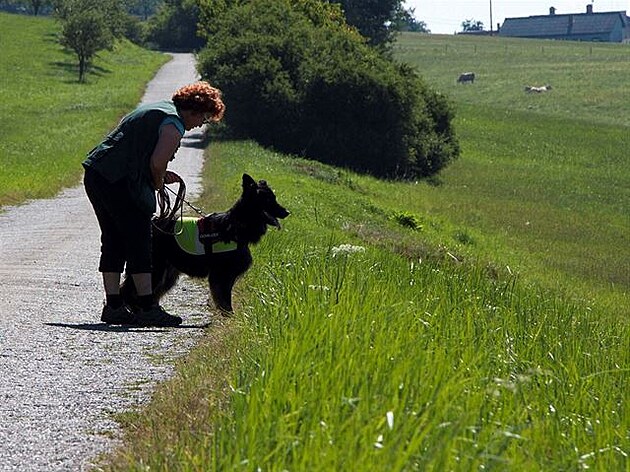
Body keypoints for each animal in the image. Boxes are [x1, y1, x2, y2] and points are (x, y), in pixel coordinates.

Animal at [121, 173, 292, 314]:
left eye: (274, 198)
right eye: (268, 200)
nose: (287, 212)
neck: (235, 225)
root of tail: (153, 224)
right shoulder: (221, 275)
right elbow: (224, 300)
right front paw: (229, 318)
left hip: (167, 272)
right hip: (156, 268)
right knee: (129, 288)